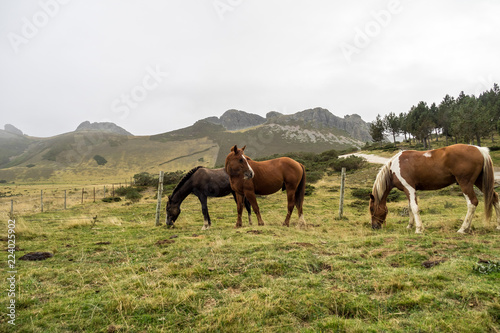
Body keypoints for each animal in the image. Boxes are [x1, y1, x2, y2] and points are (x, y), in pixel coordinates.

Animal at [368, 143, 500, 233]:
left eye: (371, 209)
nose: (374, 227)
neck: (394, 168)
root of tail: (480, 150)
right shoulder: (408, 191)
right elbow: (410, 207)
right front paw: (410, 226)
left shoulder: (409, 189)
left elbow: (414, 208)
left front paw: (419, 229)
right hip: (480, 182)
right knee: (494, 198)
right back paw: (498, 225)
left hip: (466, 184)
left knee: (472, 203)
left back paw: (463, 229)